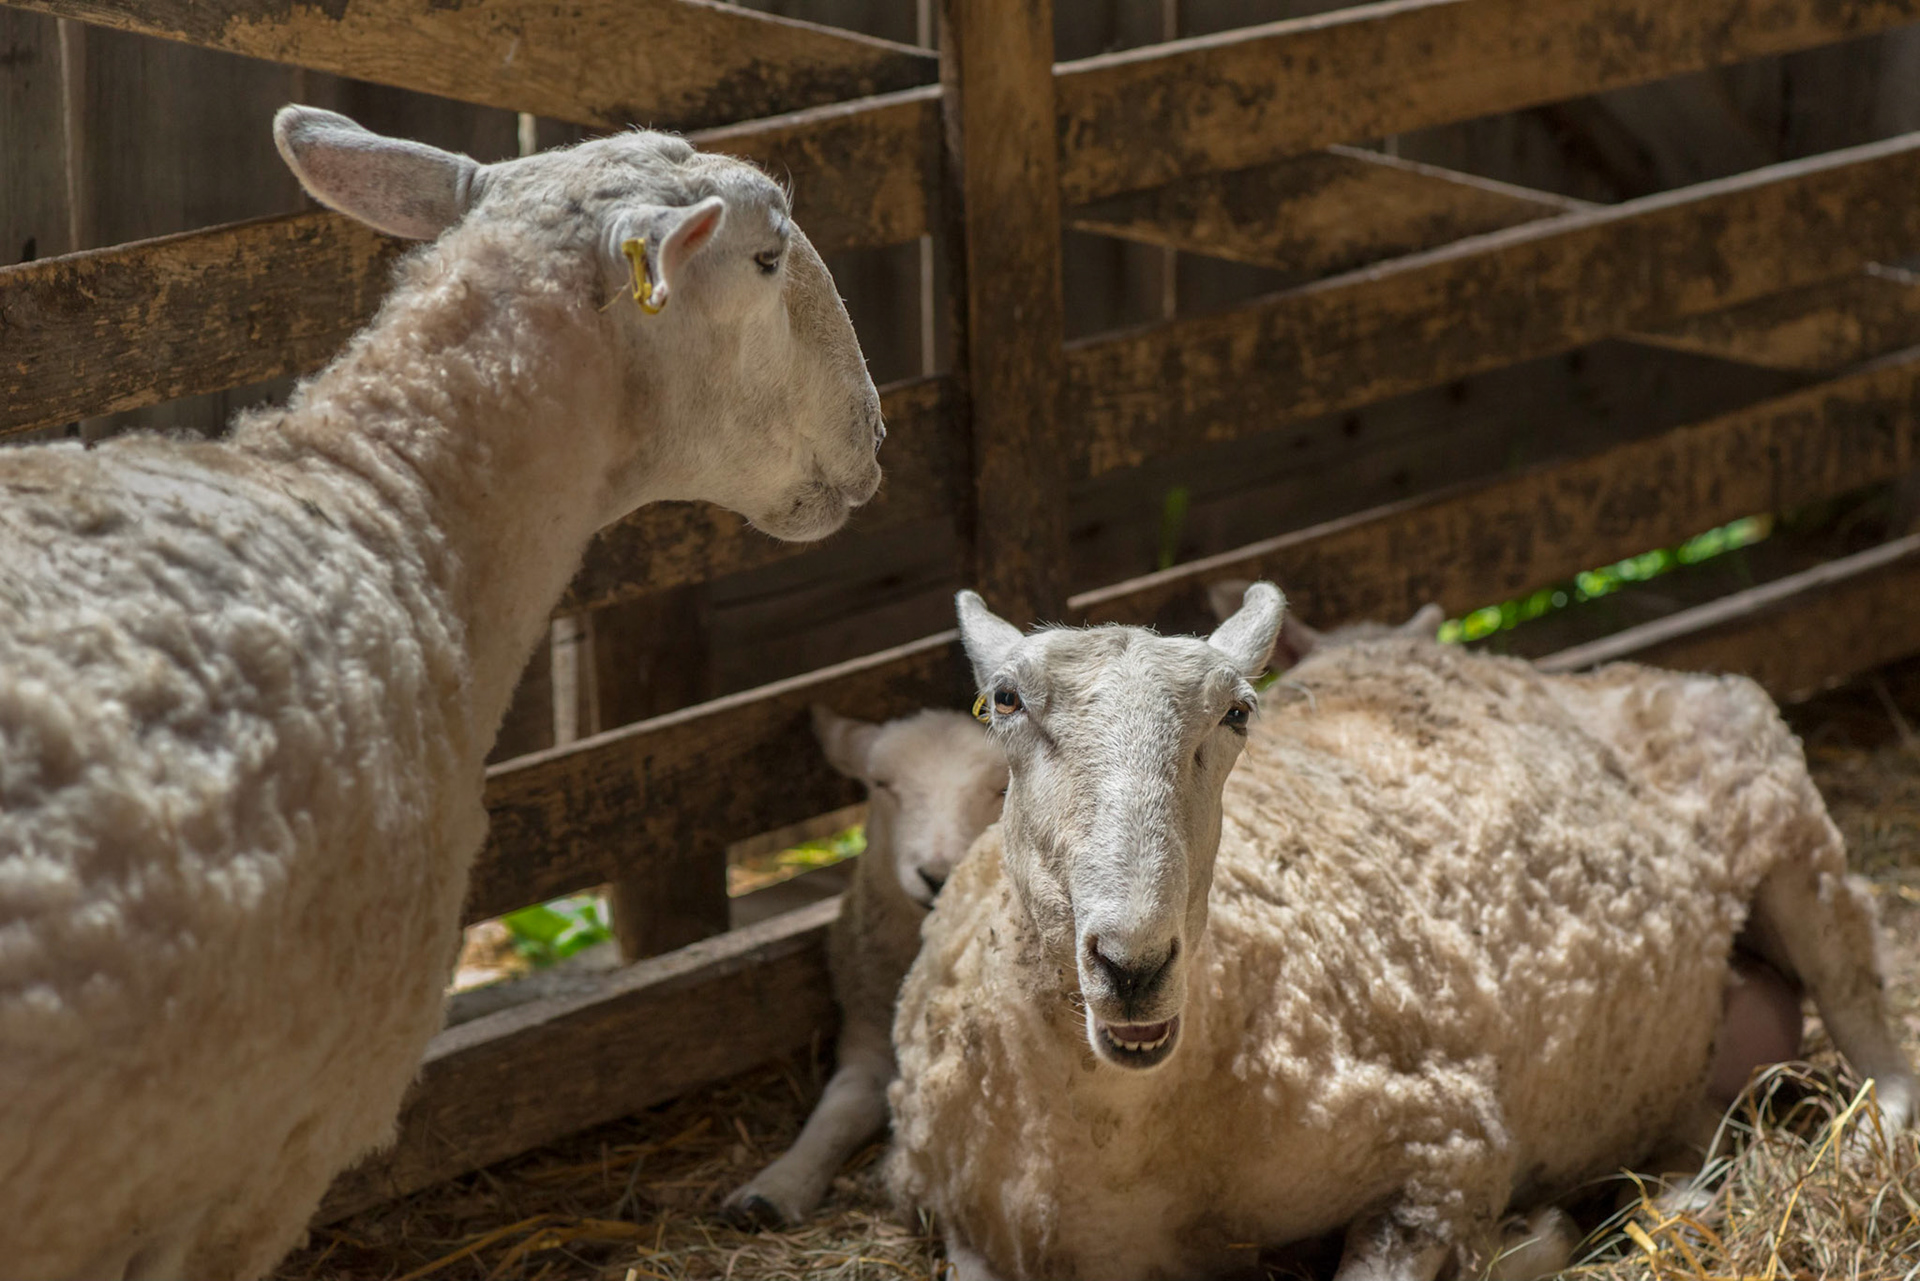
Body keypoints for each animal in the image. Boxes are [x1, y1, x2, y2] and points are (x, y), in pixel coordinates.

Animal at [725, 704, 1008, 1227]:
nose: (936, 875)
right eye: (881, 784)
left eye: (1001, 788)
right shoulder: (866, 1039)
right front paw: (774, 1187)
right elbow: (838, 1111)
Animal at [885, 583, 1916, 1281]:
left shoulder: (1443, 1145)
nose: (1132, 963)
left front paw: (1531, 1236)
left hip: (1788, 830)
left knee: (1871, 1021)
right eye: (1006, 701)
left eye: (1237, 711)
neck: (1128, 1132)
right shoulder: (967, 1219)